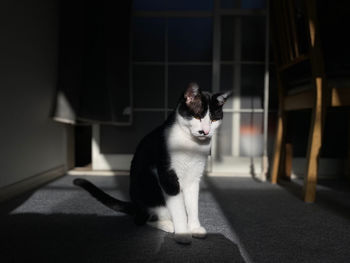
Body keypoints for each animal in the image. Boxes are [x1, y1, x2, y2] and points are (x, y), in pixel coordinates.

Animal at [74, 83, 230, 245]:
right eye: (197, 116)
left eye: (213, 120)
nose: (205, 131)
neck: (191, 144)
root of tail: (136, 206)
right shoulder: (166, 174)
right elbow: (179, 208)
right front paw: (183, 234)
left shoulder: (194, 176)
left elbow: (193, 206)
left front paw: (194, 228)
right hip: (150, 191)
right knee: (142, 220)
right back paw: (168, 224)